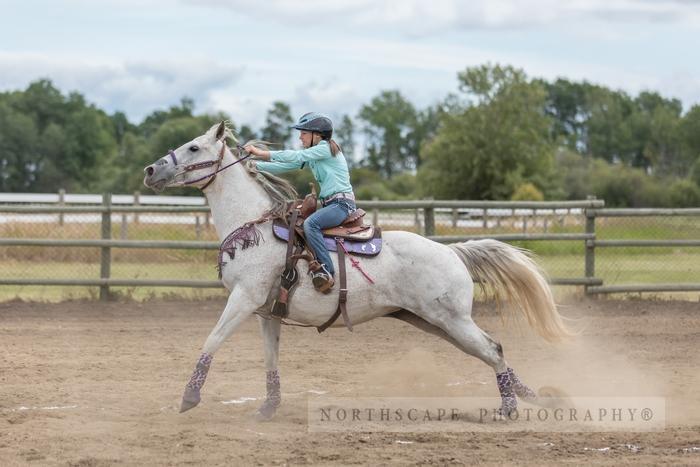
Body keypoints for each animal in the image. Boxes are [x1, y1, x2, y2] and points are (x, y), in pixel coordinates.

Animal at [141, 121, 568, 420]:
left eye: (194, 146)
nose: (150, 170)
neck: (254, 226)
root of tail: (452, 252)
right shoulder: (266, 312)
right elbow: (270, 359)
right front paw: (268, 408)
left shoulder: (243, 299)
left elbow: (211, 340)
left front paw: (189, 397)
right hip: (433, 321)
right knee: (492, 350)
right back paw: (538, 398)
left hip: (450, 319)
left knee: (492, 350)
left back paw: (510, 408)